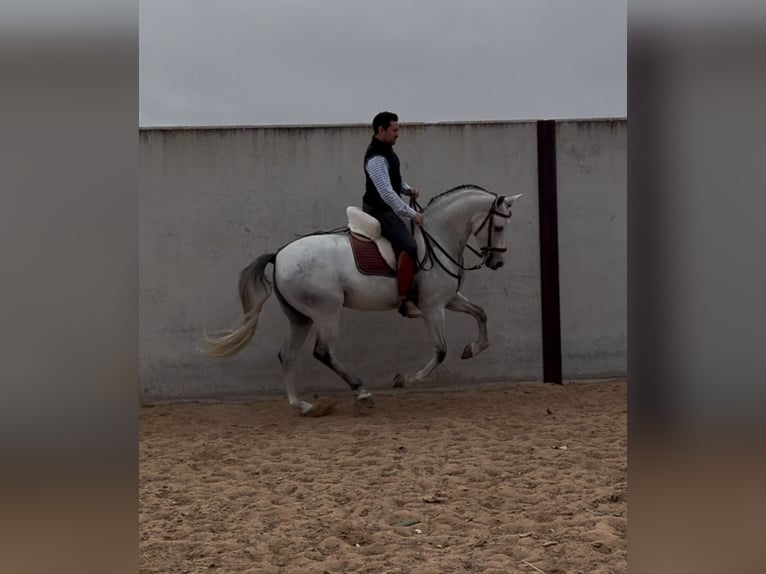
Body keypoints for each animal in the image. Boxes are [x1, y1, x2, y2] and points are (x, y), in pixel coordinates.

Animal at [202, 185, 522, 415]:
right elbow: (441, 351)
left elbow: (481, 313)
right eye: (499, 227)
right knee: (323, 352)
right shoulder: (433, 307)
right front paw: (405, 379)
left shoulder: (449, 299)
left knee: (287, 354)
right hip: (326, 312)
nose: (497, 262)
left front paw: (473, 348)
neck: (437, 237)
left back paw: (303, 405)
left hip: (300, 317)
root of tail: (279, 255)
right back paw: (362, 392)